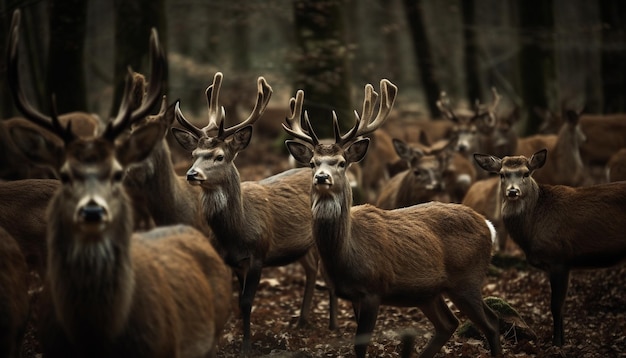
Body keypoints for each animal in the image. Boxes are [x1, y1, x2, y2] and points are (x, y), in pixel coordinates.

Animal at [169, 71, 336, 354]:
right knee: (311, 269)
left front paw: (246, 346)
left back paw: (332, 325)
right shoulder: (232, 261)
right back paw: (302, 320)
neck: (236, 231)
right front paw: (234, 339)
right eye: (193, 154)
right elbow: (237, 302)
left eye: (219, 156)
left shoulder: (259, 252)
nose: (192, 174)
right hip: (302, 246)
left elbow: (247, 301)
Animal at [286, 79, 500, 358]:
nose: (322, 177)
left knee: (492, 322)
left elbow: (361, 344)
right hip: (428, 293)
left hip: (467, 279)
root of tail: (488, 225)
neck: (344, 252)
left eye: (342, 162)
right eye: (312, 162)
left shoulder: (373, 289)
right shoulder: (353, 295)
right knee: (448, 323)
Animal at [472, 148, 624, 350]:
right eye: (502, 174)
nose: (512, 191)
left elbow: (556, 306)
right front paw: (563, 341)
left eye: (526, 173)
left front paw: (557, 344)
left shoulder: (559, 258)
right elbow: (561, 305)